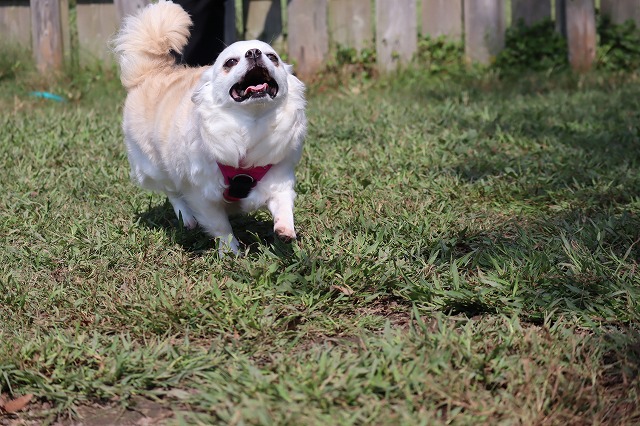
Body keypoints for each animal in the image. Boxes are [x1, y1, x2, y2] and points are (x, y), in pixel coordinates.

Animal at [113, 1, 307, 254]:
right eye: (230, 62)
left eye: (273, 57)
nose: (254, 52)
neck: (251, 123)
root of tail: (152, 72)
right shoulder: (201, 195)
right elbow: (220, 225)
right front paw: (231, 252)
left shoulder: (277, 177)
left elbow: (283, 203)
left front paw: (285, 229)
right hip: (155, 166)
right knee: (172, 191)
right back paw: (186, 218)